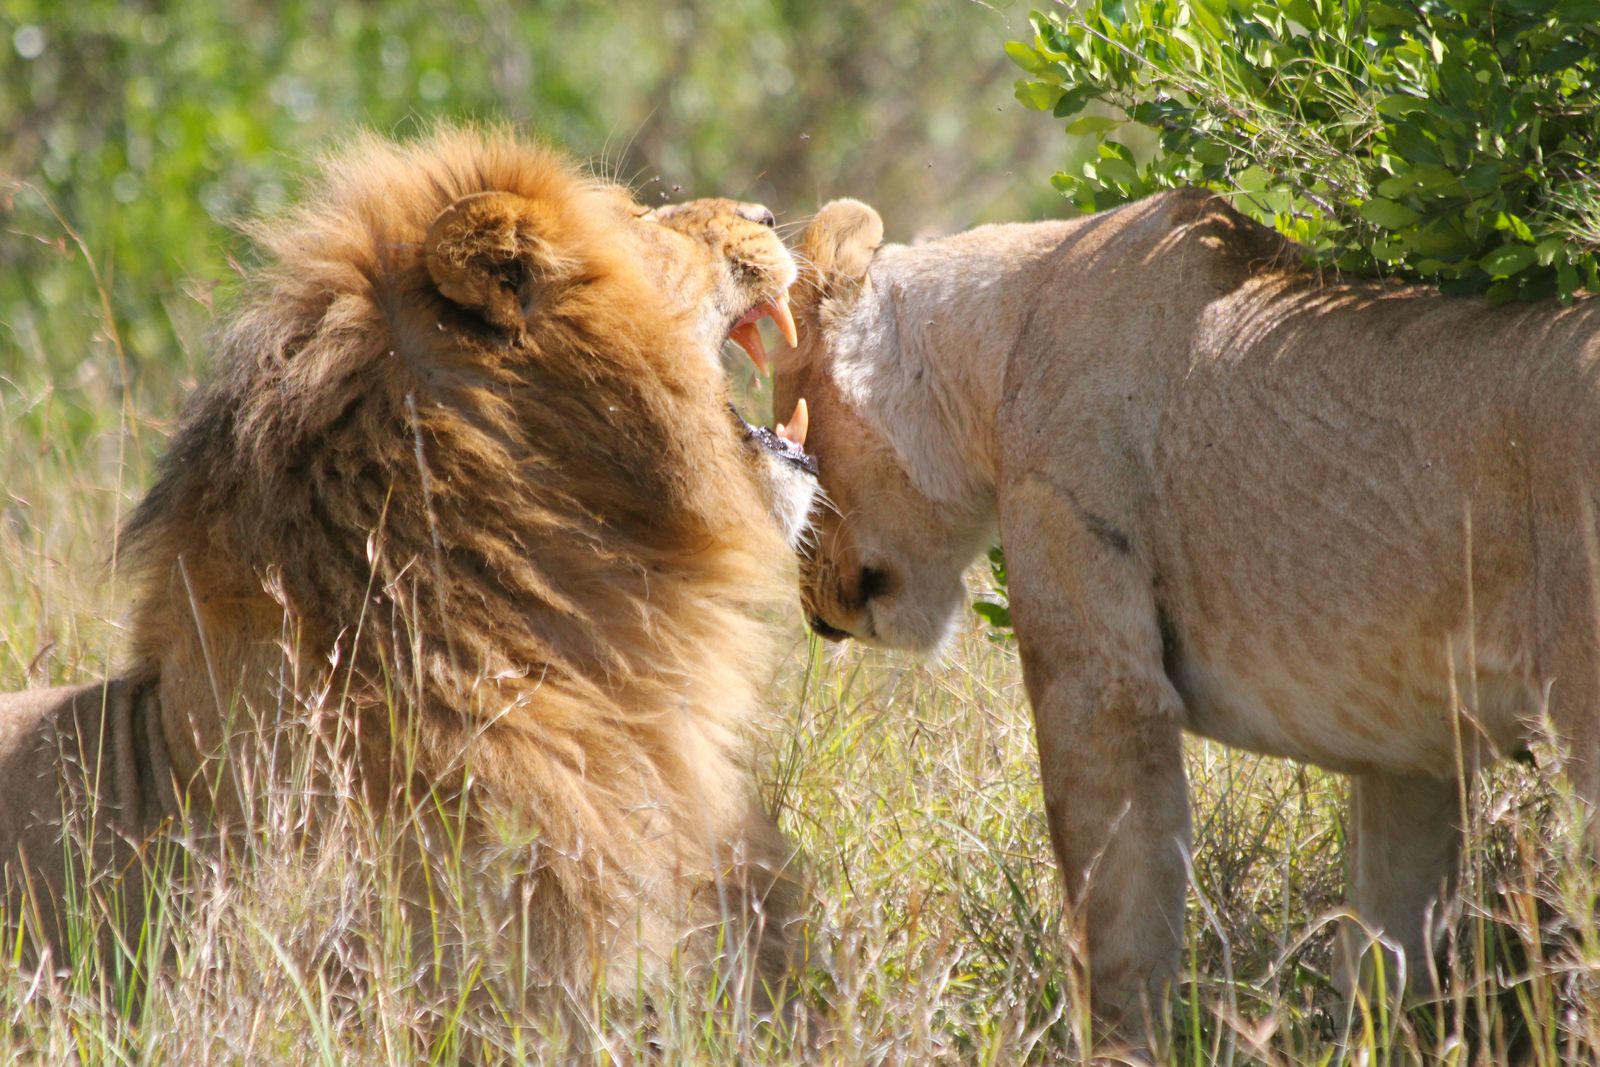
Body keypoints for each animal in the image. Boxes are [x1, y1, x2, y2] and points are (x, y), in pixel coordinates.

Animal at [780, 189, 1600, 1036]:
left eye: (790, 427)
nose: (810, 606)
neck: (1003, 333)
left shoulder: (1102, 684)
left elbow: (1116, 916)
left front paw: (1119, 1042)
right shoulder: (1412, 745)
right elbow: (1387, 939)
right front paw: (1371, 1036)